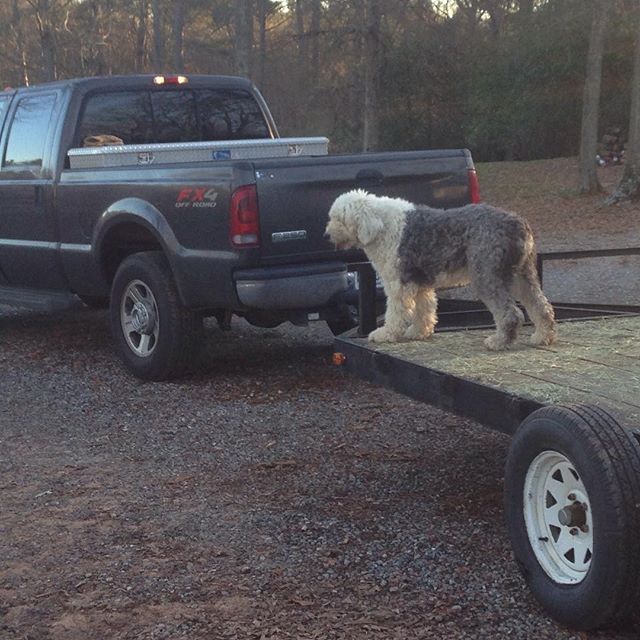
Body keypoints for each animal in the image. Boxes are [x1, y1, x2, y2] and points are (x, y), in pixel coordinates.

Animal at [324, 190, 556, 350]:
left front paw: (385, 334)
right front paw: (419, 331)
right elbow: (424, 309)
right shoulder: (420, 283)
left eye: (338, 218)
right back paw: (542, 337)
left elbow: (396, 312)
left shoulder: (399, 282)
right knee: (541, 306)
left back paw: (498, 341)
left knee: (511, 313)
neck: (382, 227)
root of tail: (518, 223)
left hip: (488, 275)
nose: (326, 235)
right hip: (522, 275)